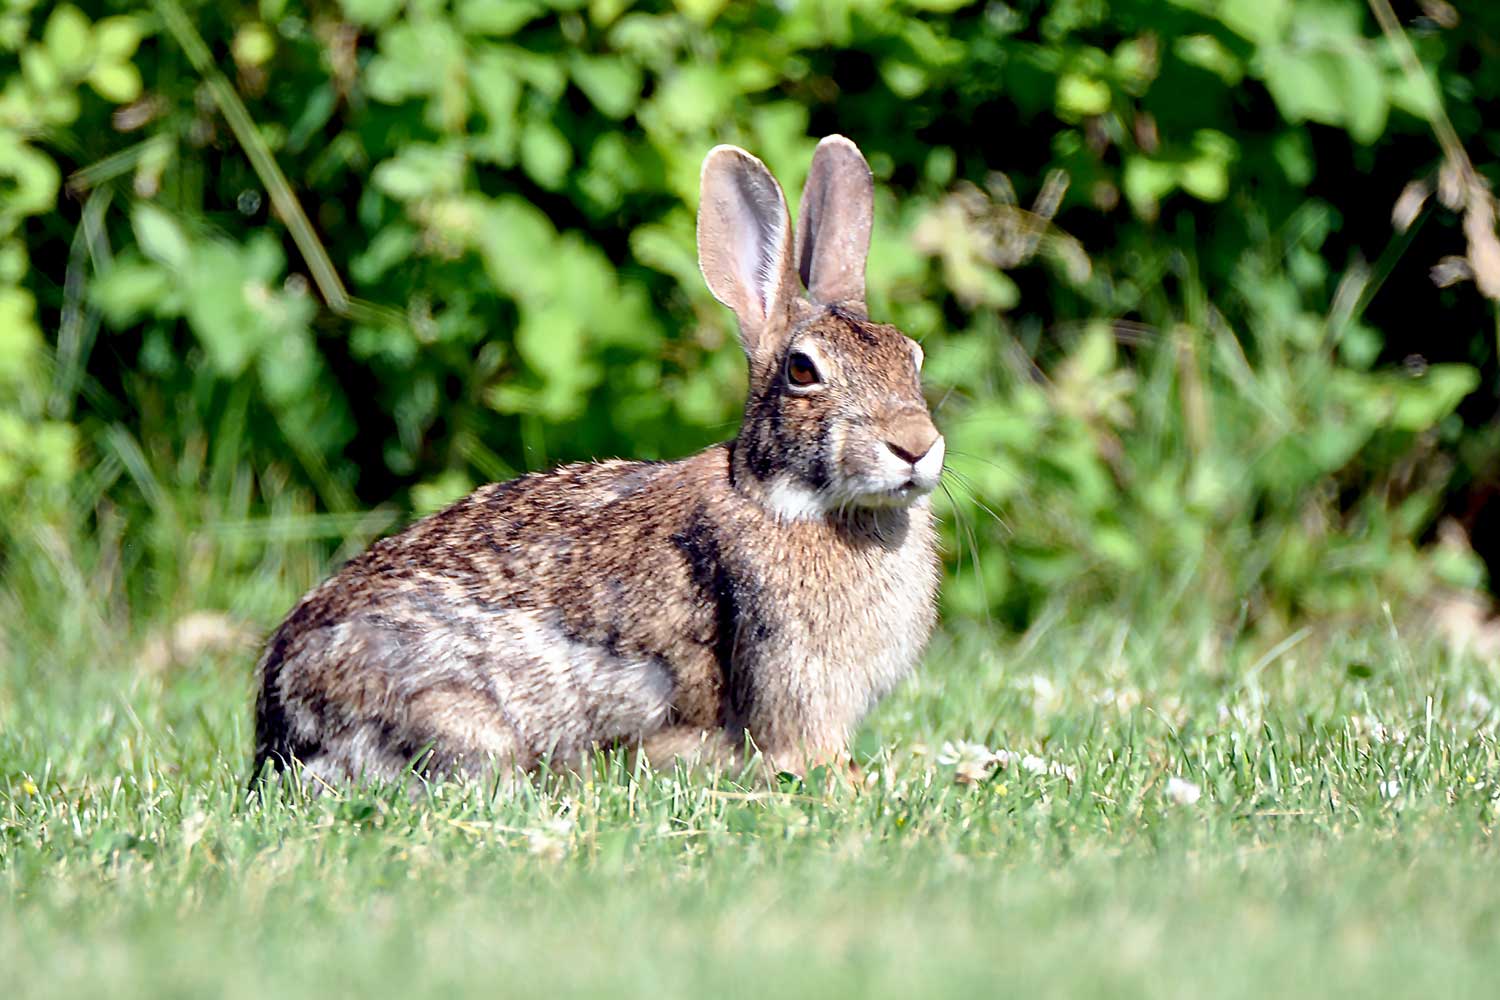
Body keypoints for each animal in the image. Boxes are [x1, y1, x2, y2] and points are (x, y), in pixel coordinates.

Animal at [252, 137, 942, 785]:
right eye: (802, 371)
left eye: (913, 355)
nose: (915, 445)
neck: (784, 500)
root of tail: (277, 716)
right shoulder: (793, 695)